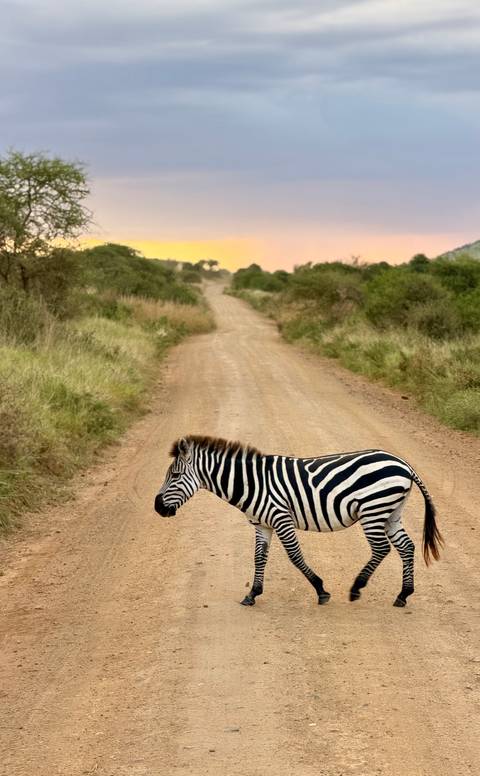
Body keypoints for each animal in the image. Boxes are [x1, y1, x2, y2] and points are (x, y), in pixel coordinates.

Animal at [154, 435, 443, 607]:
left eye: (175, 476)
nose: (157, 507)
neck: (251, 483)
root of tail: (402, 463)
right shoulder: (262, 524)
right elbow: (259, 558)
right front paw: (252, 594)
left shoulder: (281, 517)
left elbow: (295, 556)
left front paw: (321, 590)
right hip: (391, 512)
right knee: (406, 547)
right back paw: (403, 595)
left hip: (373, 509)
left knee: (382, 549)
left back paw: (356, 588)